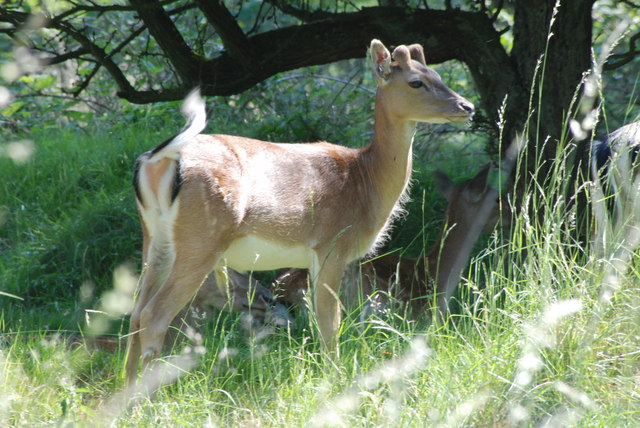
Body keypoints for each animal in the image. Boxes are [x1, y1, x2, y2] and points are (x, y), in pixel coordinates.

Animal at [126, 38, 476, 382]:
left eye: (438, 75)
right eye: (416, 81)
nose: (467, 107)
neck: (364, 180)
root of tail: (157, 159)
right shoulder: (331, 245)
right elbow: (330, 320)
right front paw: (336, 379)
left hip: (154, 240)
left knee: (135, 313)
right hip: (201, 240)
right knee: (154, 315)